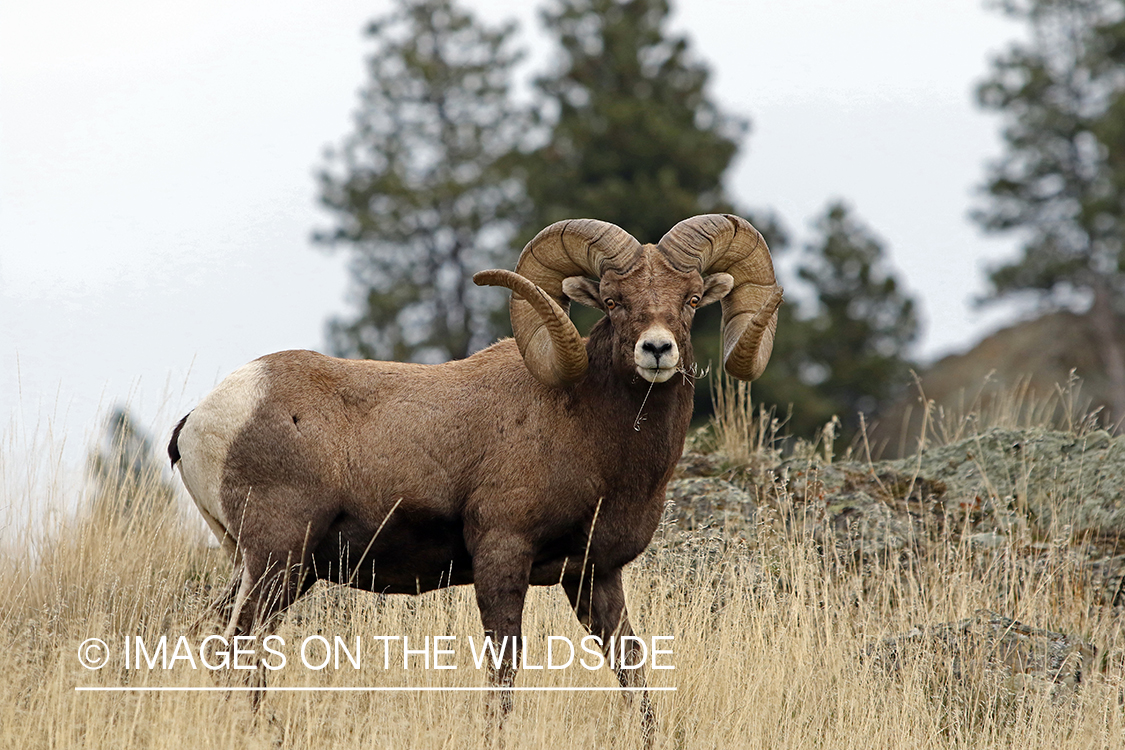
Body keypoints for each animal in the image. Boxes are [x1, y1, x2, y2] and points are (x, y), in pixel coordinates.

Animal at [169, 213, 782, 743]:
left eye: (692, 299)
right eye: (614, 300)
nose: (657, 349)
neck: (585, 427)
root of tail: (202, 419)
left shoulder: (595, 576)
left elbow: (631, 668)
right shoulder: (502, 554)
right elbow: (504, 668)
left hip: (270, 567)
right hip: (277, 558)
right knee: (234, 644)